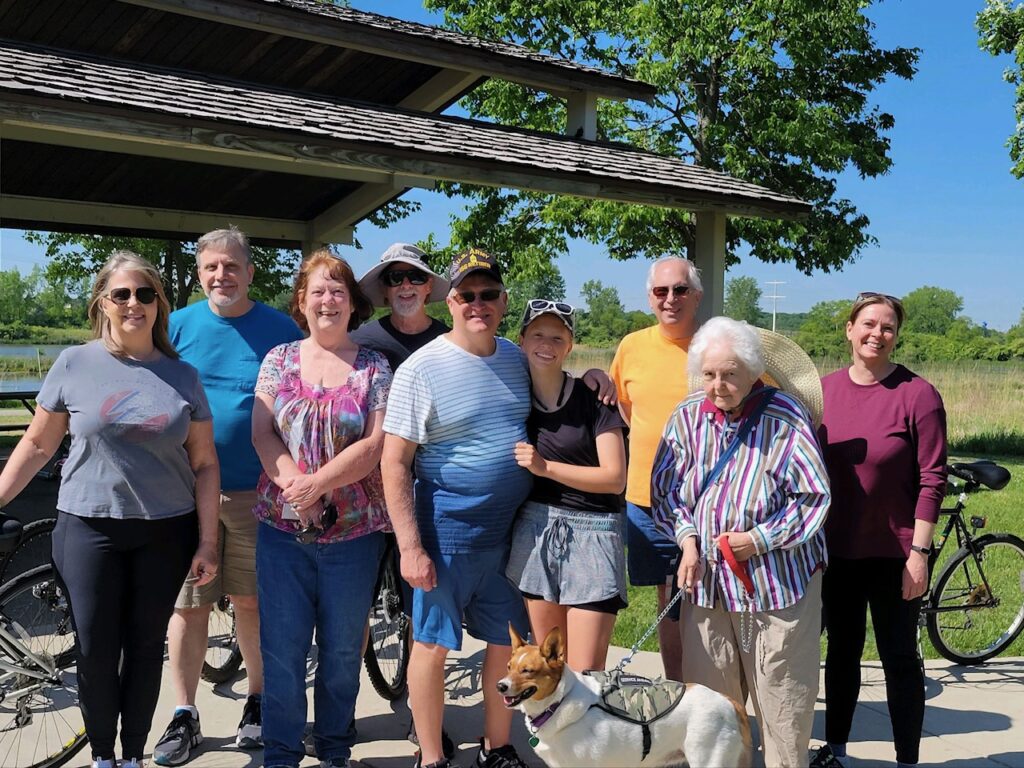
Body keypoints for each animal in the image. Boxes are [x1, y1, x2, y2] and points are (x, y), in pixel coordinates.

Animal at [497, 626, 753, 768]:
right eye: (509, 667)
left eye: (528, 671)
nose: (500, 686)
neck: (559, 701)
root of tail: (729, 701)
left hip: (710, 761)